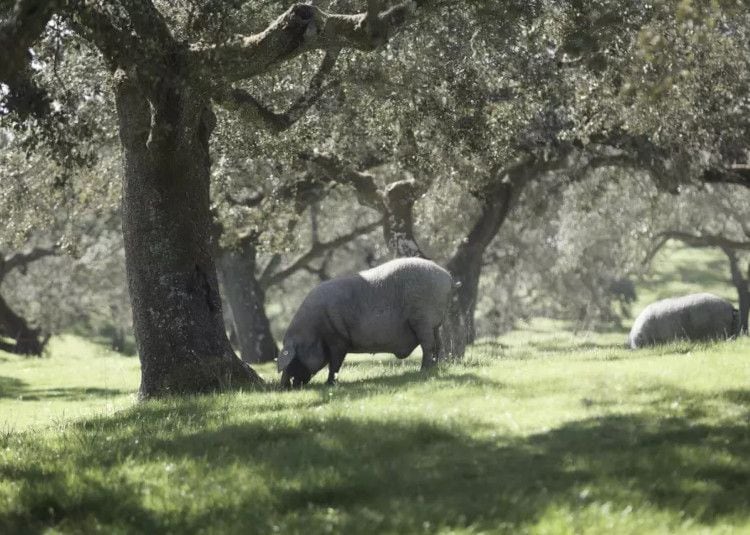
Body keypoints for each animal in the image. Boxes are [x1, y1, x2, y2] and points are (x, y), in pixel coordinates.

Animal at [276, 258, 452, 388]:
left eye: (293, 360)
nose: (283, 386)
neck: (313, 332)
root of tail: (447, 276)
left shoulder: (338, 339)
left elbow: (335, 364)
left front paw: (329, 384)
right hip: (434, 324)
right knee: (439, 344)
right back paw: (436, 367)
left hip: (422, 320)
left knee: (428, 345)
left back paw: (423, 370)